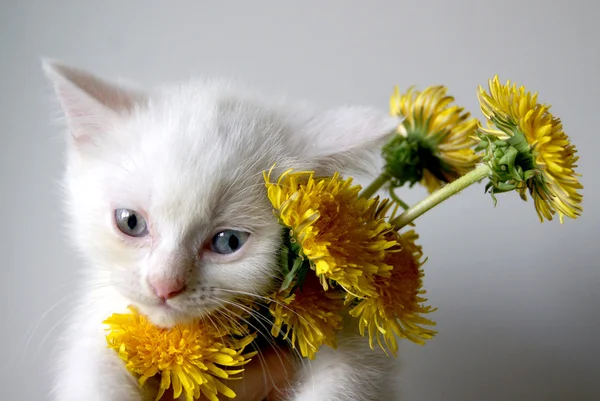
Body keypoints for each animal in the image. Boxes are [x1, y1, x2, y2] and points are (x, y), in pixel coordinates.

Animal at [44, 60, 404, 400]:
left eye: (228, 241)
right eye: (130, 222)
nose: (164, 286)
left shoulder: (342, 332)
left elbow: (348, 377)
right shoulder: (101, 319)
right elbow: (92, 371)